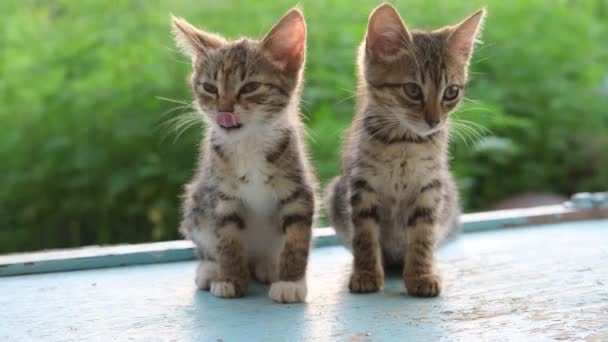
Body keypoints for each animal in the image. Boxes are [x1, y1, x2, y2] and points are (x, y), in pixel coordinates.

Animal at [170, 6, 314, 304]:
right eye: (210, 88)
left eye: (250, 87)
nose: (224, 110)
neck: (248, 143)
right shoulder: (221, 197)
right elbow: (227, 241)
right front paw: (231, 280)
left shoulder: (299, 192)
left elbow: (297, 238)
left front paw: (291, 281)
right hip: (196, 203)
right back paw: (210, 269)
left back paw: (269, 265)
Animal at [328, 3, 484, 296]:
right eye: (412, 90)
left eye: (451, 92)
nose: (434, 121)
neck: (405, 144)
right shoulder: (361, 186)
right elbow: (364, 236)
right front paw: (366, 273)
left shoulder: (430, 188)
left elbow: (423, 237)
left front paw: (421, 275)